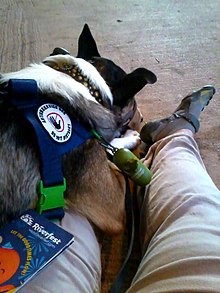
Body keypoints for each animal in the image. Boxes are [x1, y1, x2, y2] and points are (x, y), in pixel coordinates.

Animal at [0, 24, 156, 237]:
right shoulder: (114, 205)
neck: (84, 82)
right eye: (132, 106)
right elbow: (106, 149)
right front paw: (128, 139)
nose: (140, 118)